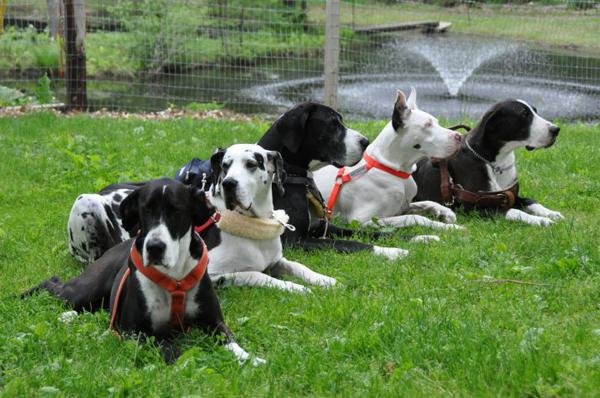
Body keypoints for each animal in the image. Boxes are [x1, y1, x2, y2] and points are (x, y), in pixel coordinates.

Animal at [23, 179, 262, 366]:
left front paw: (249, 358)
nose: (155, 246)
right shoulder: (135, 332)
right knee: (54, 284)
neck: (174, 278)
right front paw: (186, 360)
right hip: (83, 290)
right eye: (146, 209)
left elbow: (230, 340)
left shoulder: (214, 322)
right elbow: (168, 348)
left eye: (177, 210)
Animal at [256, 101, 408, 260]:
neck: (292, 176)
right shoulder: (293, 241)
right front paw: (392, 251)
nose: (366, 142)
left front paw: (414, 238)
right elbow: (351, 244)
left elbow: (366, 232)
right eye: (333, 124)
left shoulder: (321, 226)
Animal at [314, 87, 464, 230]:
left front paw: (445, 212)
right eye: (427, 125)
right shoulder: (363, 221)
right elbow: (415, 218)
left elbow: (427, 202)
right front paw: (448, 227)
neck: (393, 169)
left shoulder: (403, 207)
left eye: (436, 122)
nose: (459, 136)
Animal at [412, 98, 564, 227]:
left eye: (535, 111)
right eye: (524, 114)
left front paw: (551, 213)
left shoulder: (510, 196)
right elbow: (513, 211)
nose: (556, 130)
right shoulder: (474, 209)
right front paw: (540, 220)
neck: (496, 163)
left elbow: (530, 201)